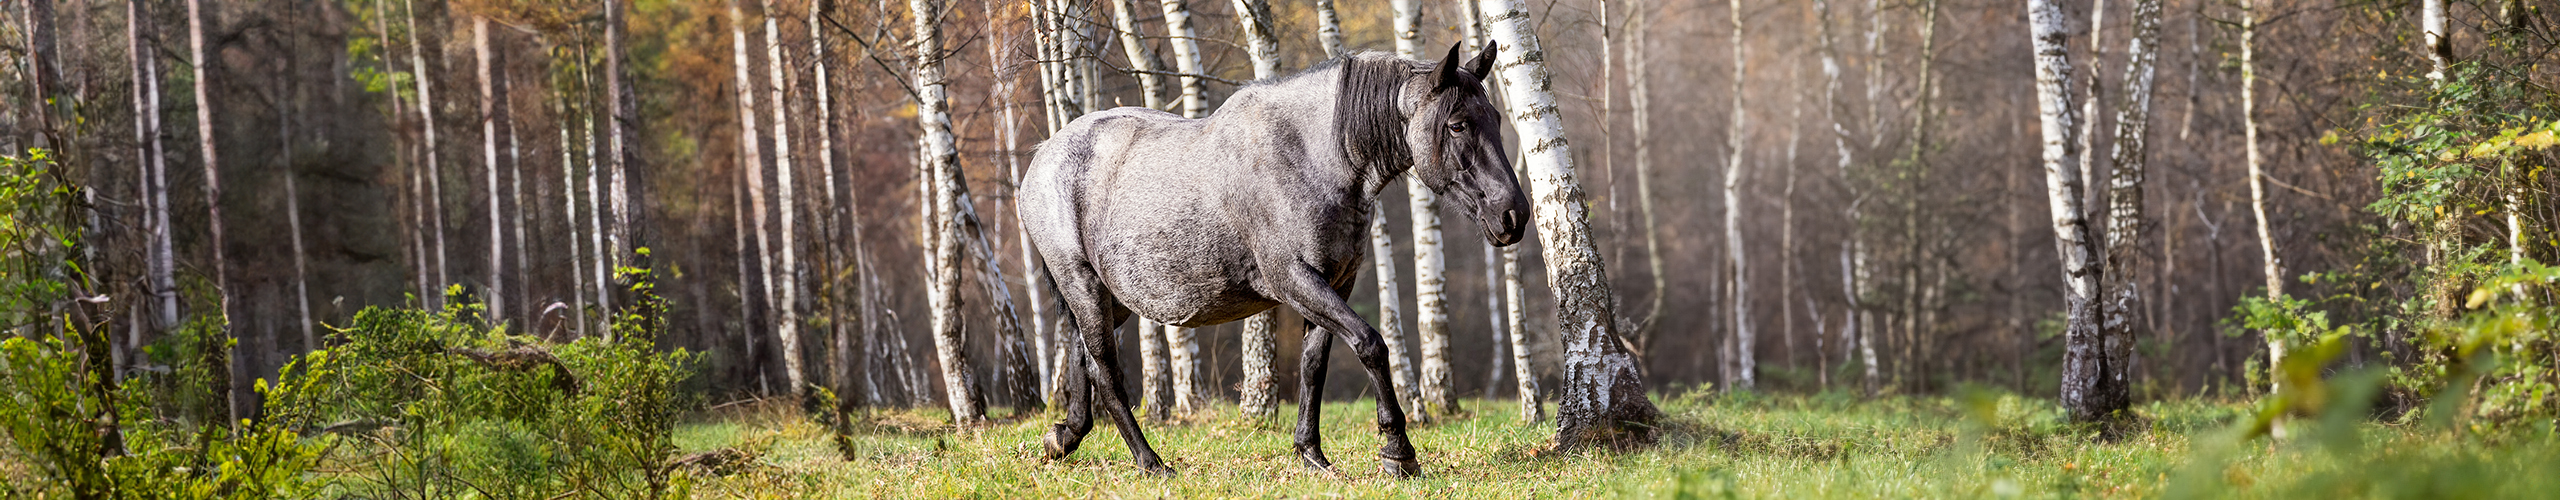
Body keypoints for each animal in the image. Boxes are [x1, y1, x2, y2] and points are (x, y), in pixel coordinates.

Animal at [1018, 41, 1525, 476]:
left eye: (1496, 118)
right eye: (1457, 123)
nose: (1513, 214)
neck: (1312, 157)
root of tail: (1043, 156)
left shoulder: (1334, 283)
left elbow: (1313, 365)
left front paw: (1312, 454)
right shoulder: (1295, 279)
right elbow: (1370, 344)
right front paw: (1398, 452)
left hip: (1113, 299)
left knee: (1082, 357)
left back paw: (1064, 437)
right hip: (1082, 283)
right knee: (1105, 370)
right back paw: (1149, 462)